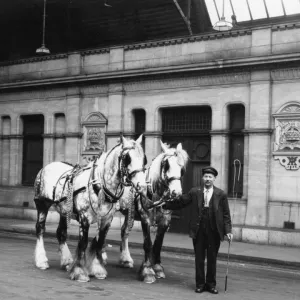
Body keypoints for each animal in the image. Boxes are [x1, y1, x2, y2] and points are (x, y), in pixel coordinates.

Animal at [33, 135, 150, 282]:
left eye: (144, 159)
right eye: (127, 158)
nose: (142, 186)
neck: (99, 185)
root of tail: (47, 166)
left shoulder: (107, 219)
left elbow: (100, 242)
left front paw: (98, 269)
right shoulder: (84, 217)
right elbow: (83, 243)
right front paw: (79, 272)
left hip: (64, 210)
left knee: (61, 232)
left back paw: (66, 261)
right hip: (42, 205)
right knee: (40, 229)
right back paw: (41, 260)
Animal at [102, 141, 189, 284]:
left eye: (182, 168)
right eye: (167, 165)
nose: (176, 193)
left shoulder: (165, 220)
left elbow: (158, 244)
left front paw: (157, 267)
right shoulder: (145, 217)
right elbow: (148, 243)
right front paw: (147, 270)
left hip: (129, 213)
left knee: (124, 231)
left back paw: (125, 259)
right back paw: (102, 255)